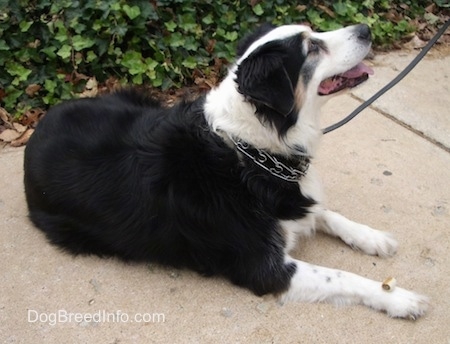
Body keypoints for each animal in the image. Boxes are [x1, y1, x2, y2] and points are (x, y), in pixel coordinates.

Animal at [24, 24, 428, 318]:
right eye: (312, 47)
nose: (366, 28)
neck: (255, 150)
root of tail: (39, 127)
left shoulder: (295, 197)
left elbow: (325, 211)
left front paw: (372, 237)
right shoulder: (264, 268)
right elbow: (343, 276)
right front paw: (399, 297)